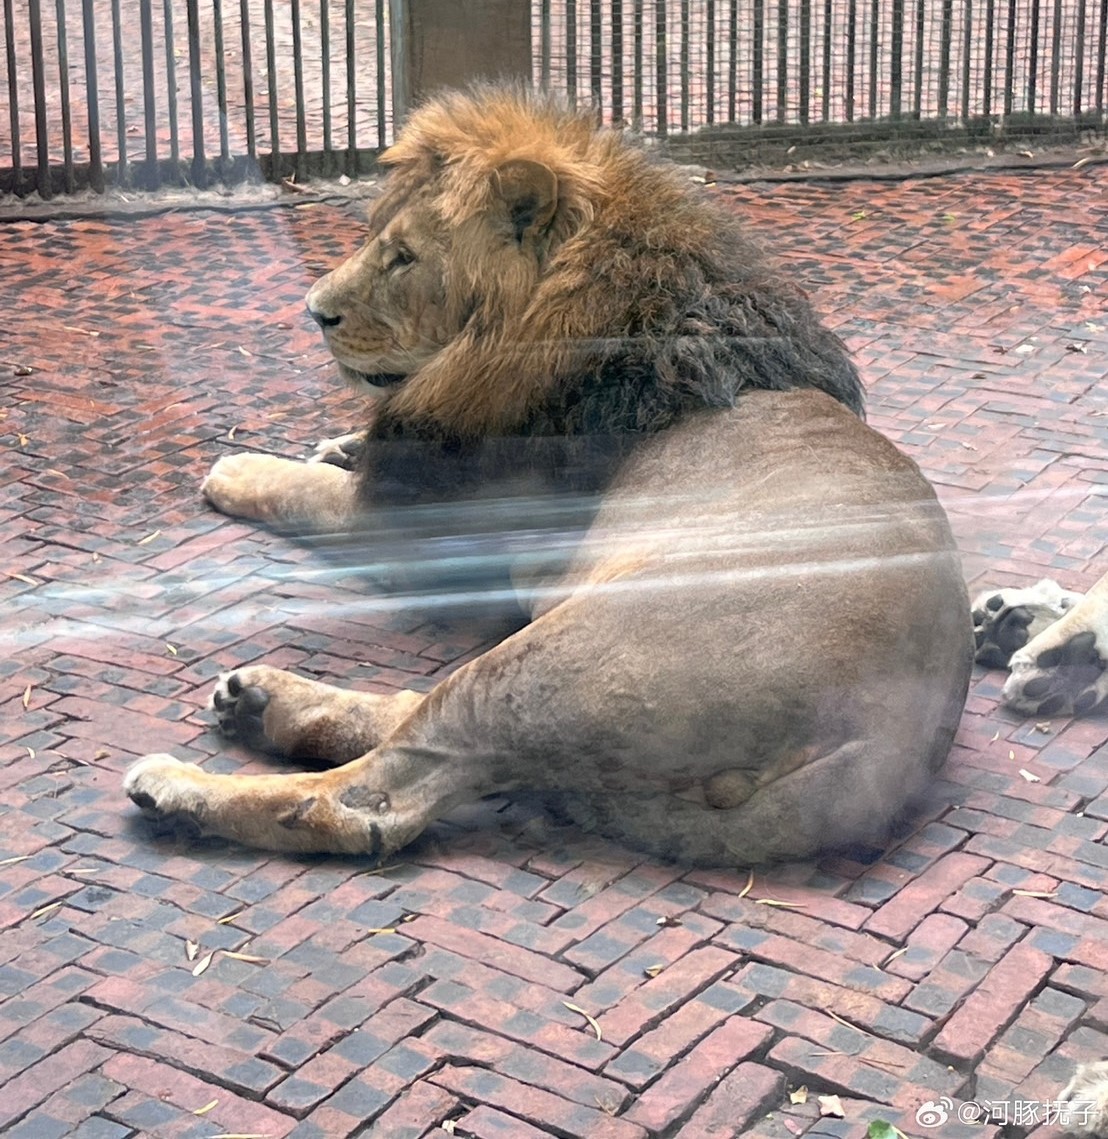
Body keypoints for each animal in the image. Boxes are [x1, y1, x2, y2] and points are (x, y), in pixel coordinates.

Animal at [122, 84, 970, 861]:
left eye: (403, 257)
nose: (313, 309)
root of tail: (881, 748)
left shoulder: (407, 524)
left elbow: (300, 489)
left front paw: (238, 466)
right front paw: (336, 443)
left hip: (553, 664)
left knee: (374, 800)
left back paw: (184, 785)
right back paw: (259, 702)